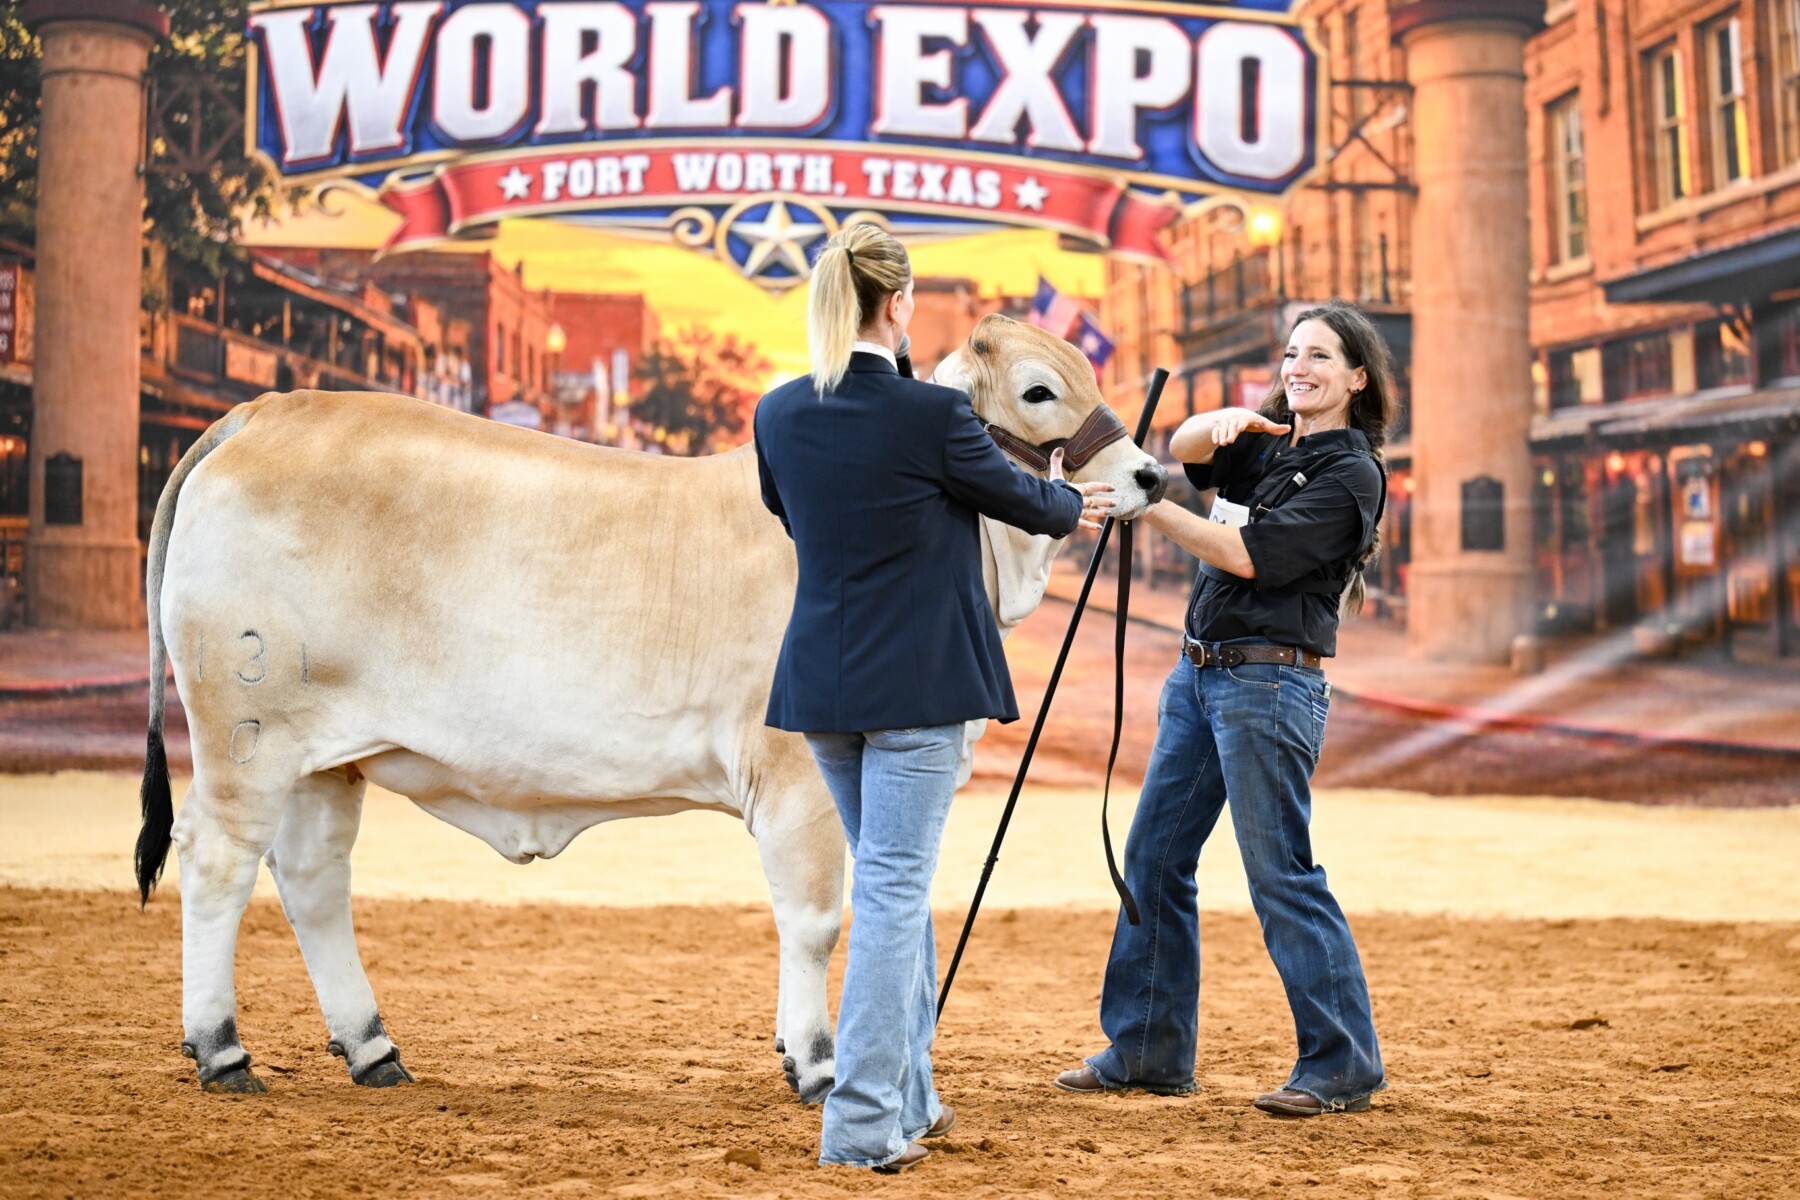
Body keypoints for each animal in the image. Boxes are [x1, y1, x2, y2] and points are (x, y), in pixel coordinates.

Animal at [134, 314, 1169, 1099]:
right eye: (1038, 390)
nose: (1151, 476)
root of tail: (268, 411)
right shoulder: (796, 777)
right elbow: (815, 918)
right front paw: (817, 1065)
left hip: (326, 758)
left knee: (313, 881)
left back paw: (373, 1048)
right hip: (245, 739)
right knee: (217, 865)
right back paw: (222, 1050)